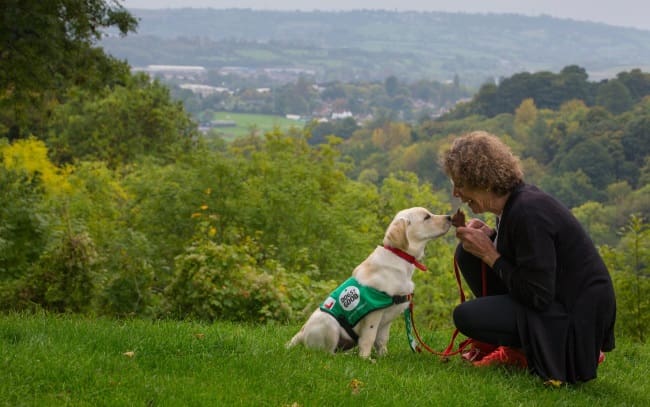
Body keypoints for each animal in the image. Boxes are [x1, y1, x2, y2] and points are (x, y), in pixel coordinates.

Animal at [286, 209, 448, 358]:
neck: (399, 256)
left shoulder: (386, 321)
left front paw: (383, 357)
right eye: (426, 217)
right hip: (329, 323)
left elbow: (382, 340)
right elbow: (369, 339)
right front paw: (365, 359)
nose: (450, 217)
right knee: (326, 352)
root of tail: (300, 334)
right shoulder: (373, 315)